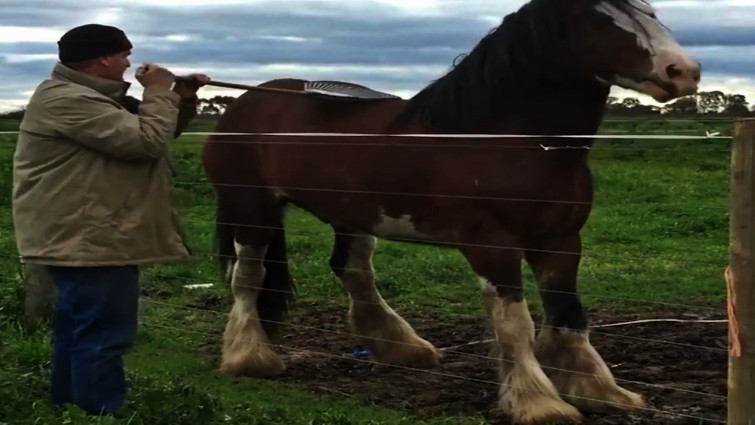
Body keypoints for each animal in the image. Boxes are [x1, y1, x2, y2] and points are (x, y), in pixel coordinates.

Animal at [201, 0, 700, 423]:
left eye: (651, 12)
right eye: (598, 18)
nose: (684, 72)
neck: (507, 139)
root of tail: (245, 104)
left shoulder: (561, 242)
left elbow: (570, 315)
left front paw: (599, 391)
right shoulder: (493, 246)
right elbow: (515, 325)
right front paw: (538, 403)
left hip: (352, 215)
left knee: (352, 271)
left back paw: (402, 348)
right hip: (251, 209)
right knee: (248, 279)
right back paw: (250, 357)